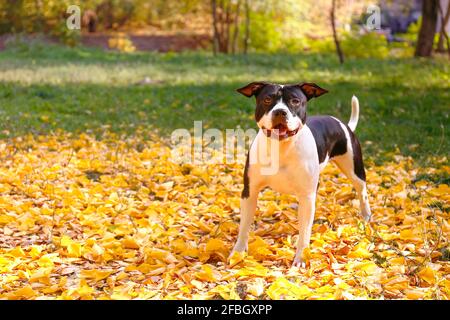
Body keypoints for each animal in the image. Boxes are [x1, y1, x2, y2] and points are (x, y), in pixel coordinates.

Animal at [230, 82, 370, 268]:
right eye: (267, 99)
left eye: (295, 101)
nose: (280, 111)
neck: (281, 148)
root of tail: (343, 124)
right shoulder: (249, 192)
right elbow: (244, 226)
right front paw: (238, 253)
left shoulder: (307, 196)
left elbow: (305, 231)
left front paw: (301, 258)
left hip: (354, 169)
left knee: (362, 191)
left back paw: (366, 216)